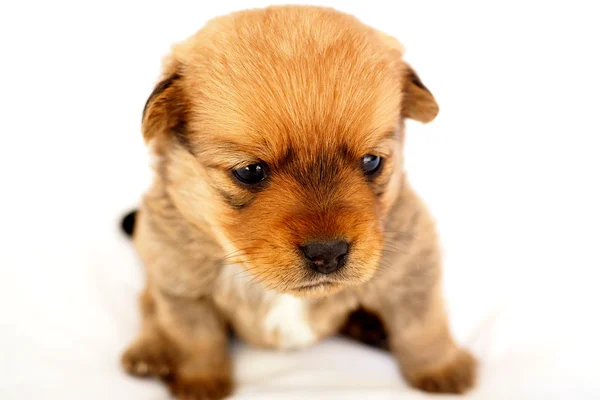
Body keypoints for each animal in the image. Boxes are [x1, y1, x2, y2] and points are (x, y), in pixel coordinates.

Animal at [120, 4, 478, 398]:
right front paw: (200, 383)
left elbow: (423, 326)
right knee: (147, 305)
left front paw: (443, 368)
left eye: (372, 161)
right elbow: (195, 339)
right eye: (249, 171)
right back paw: (148, 351)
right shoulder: (179, 284)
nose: (328, 253)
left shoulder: (414, 267)